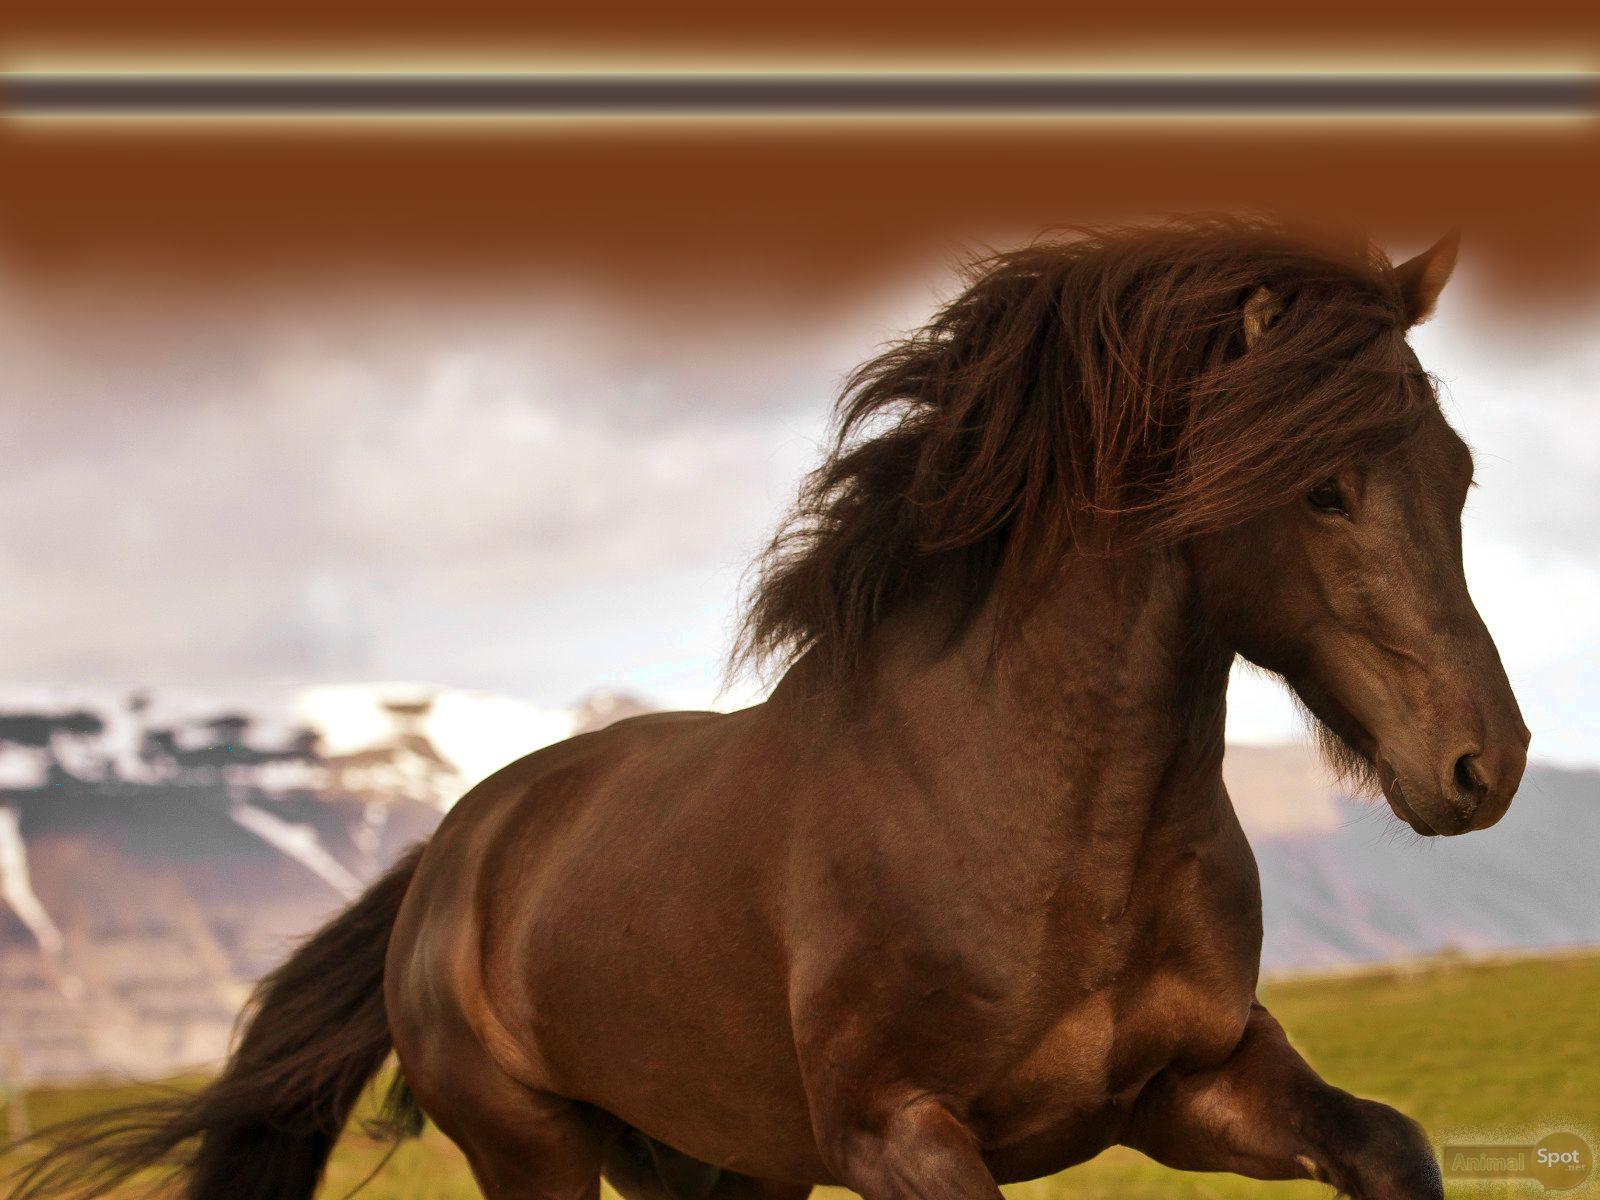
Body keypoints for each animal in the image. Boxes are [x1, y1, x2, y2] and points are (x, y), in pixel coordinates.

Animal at [8, 218, 1529, 1200]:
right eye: (1321, 486)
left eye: (1456, 471)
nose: (1485, 763)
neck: (1041, 826)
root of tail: (453, 854)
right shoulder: (897, 1134)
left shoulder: (1193, 1086)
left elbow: (1391, 1148)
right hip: (534, 1153)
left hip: (714, 1167)